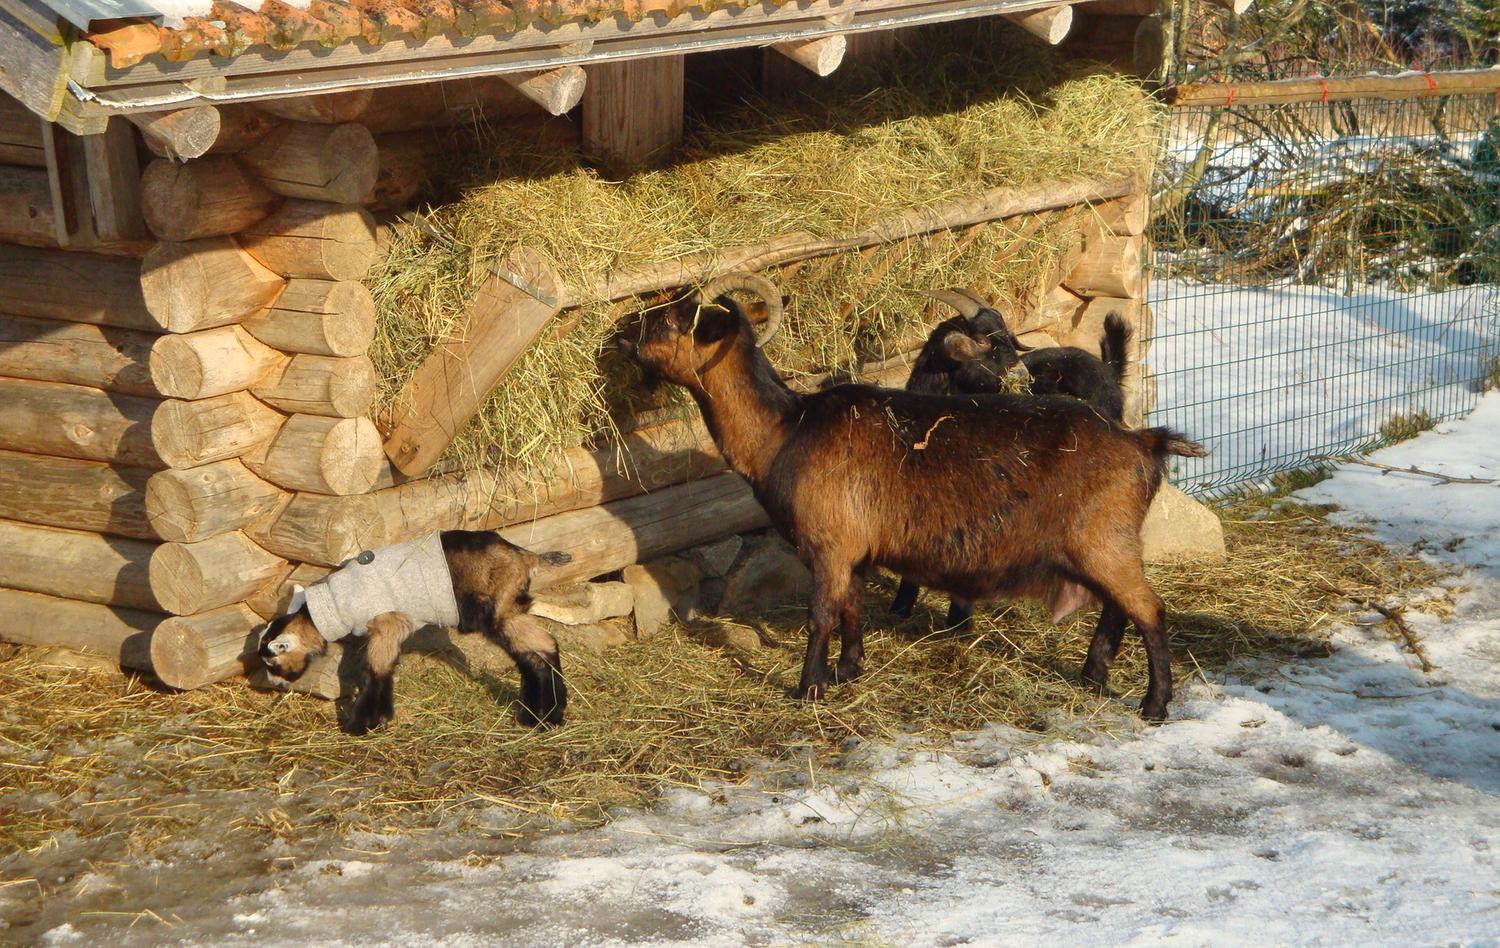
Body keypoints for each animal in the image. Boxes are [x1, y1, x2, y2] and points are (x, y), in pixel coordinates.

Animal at [257, 530, 571, 735]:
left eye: (272, 661)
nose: (275, 684)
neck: (335, 602)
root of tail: (526, 556)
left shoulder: (385, 623)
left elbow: (375, 670)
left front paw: (360, 725)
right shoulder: (390, 630)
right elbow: (383, 669)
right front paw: (380, 719)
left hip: (500, 611)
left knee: (544, 645)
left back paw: (549, 717)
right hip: (508, 612)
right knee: (532, 654)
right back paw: (532, 715)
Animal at [891, 289, 1133, 627]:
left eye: (1007, 336)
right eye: (981, 340)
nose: (1020, 373)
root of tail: (1108, 371)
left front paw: (959, 621)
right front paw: (900, 608)